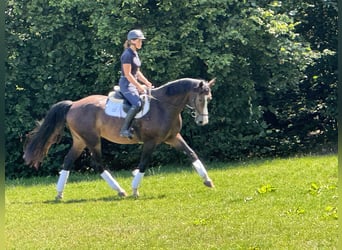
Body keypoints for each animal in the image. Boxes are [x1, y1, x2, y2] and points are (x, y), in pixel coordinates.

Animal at [23, 77, 216, 198]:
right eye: (200, 99)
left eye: (209, 99)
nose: (203, 121)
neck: (164, 106)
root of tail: (73, 105)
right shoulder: (151, 141)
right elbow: (143, 164)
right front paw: (135, 189)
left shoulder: (173, 137)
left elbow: (191, 153)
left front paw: (207, 180)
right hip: (92, 139)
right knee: (98, 164)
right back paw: (120, 190)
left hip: (80, 140)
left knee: (68, 161)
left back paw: (59, 193)